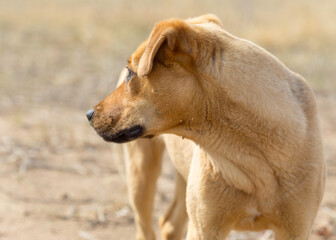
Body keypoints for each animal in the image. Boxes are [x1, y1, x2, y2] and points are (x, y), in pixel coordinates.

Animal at [87, 14, 326, 239]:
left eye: (131, 74)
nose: (89, 114)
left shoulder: (295, 229)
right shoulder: (205, 228)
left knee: (170, 224)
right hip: (142, 174)